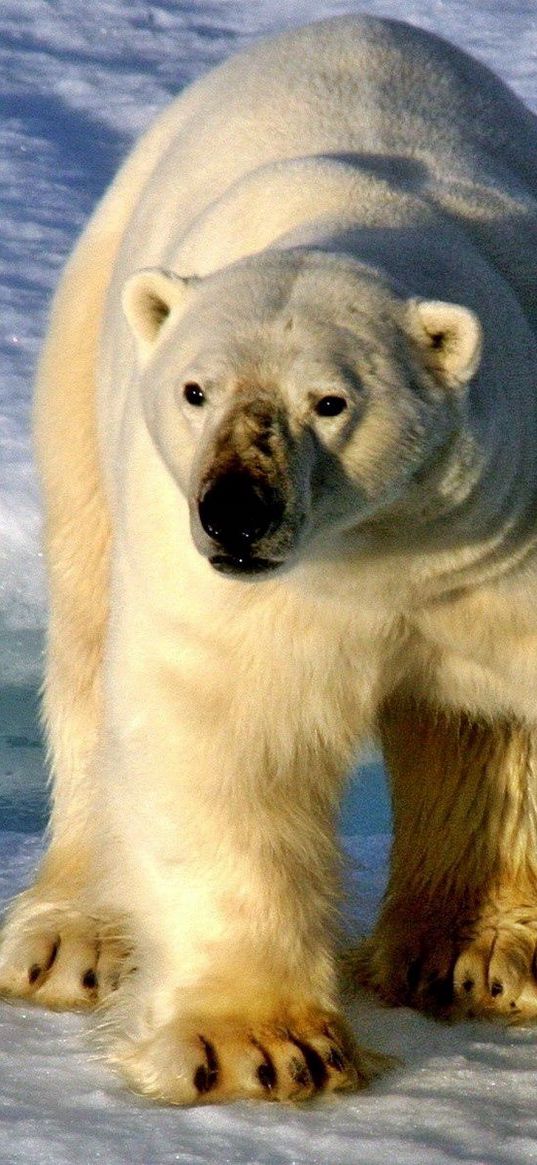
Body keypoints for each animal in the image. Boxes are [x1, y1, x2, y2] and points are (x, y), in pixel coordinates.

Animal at [3, 13, 535, 1104]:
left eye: (329, 400)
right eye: (196, 389)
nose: (234, 512)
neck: (388, 548)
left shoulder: (502, 531)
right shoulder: (237, 590)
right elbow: (223, 727)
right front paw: (255, 1044)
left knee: (474, 732)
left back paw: (473, 955)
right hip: (84, 360)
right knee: (85, 641)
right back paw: (73, 939)